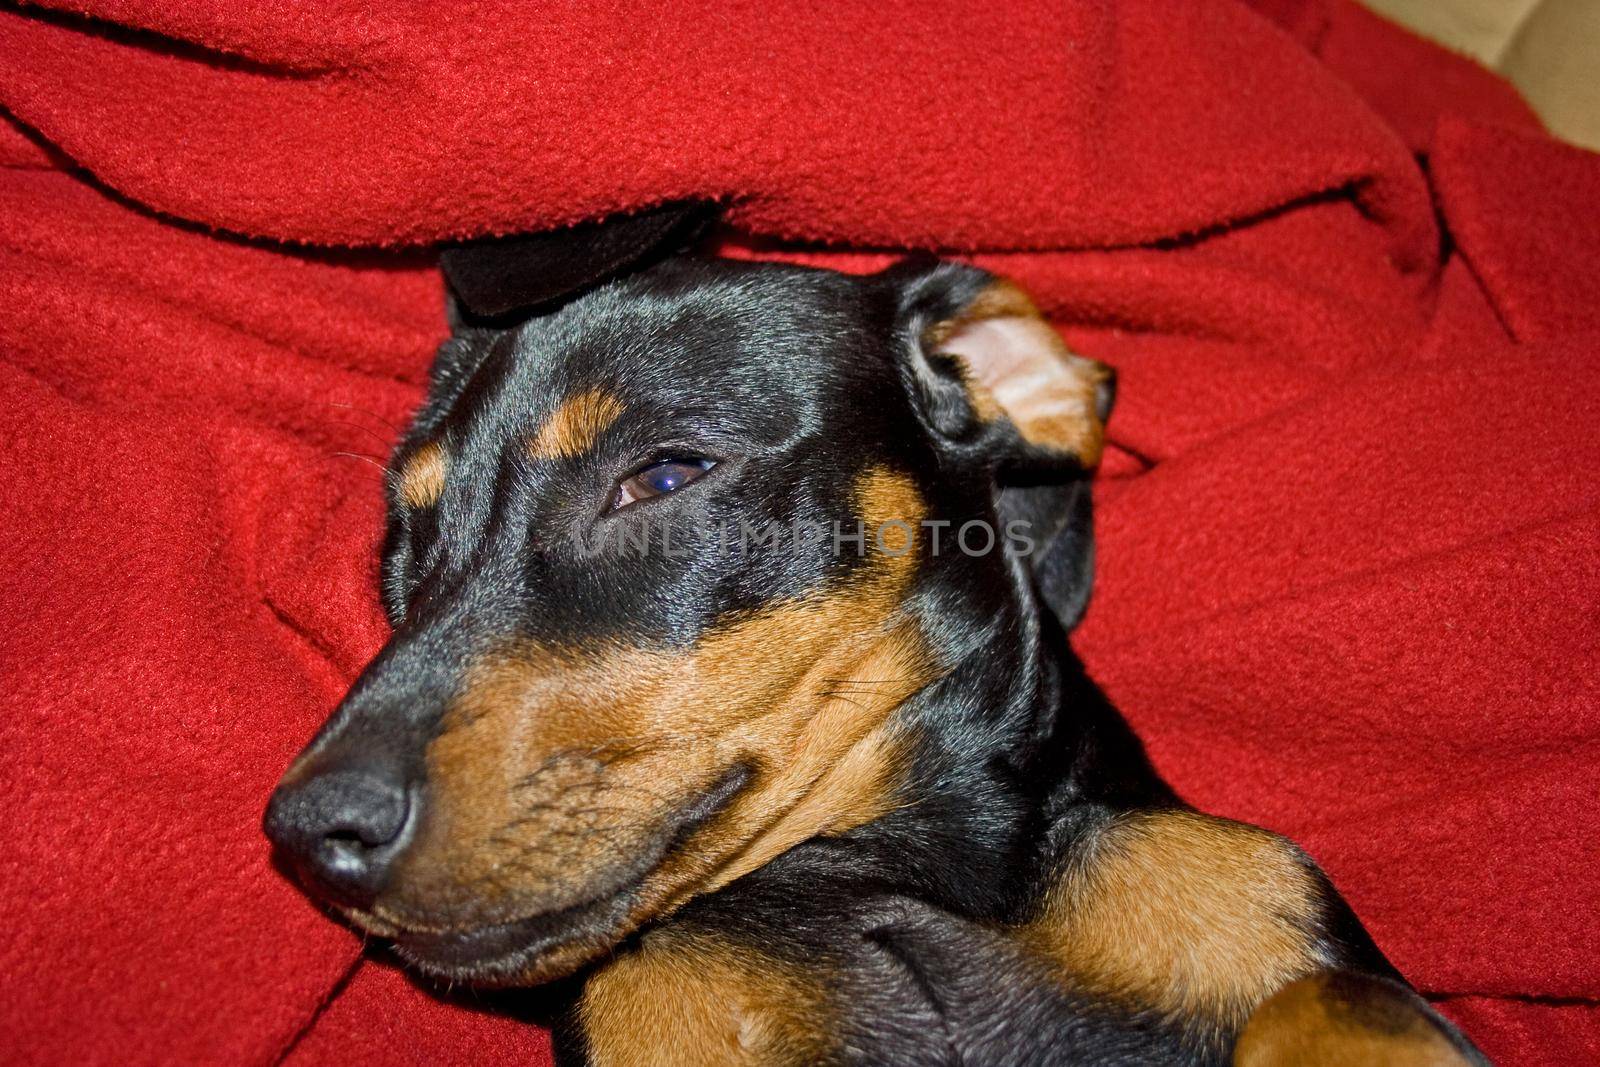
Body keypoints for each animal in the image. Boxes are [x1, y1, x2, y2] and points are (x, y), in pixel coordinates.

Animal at [265, 239, 1484, 1062]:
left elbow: (1329, 994)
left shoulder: (1265, 891)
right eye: (404, 542)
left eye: (665, 474)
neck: (881, 876)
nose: (310, 833)